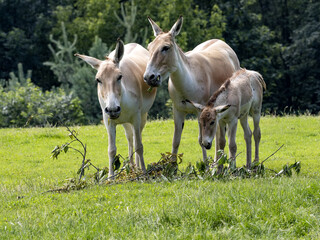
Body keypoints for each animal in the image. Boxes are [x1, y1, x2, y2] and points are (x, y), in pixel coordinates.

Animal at [75, 39, 155, 178]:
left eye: (119, 77)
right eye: (98, 80)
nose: (113, 109)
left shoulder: (136, 118)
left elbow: (139, 146)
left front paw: (144, 173)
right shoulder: (109, 121)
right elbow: (111, 149)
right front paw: (110, 177)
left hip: (143, 117)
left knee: (136, 139)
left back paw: (138, 168)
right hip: (125, 122)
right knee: (130, 138)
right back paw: (132, 167)